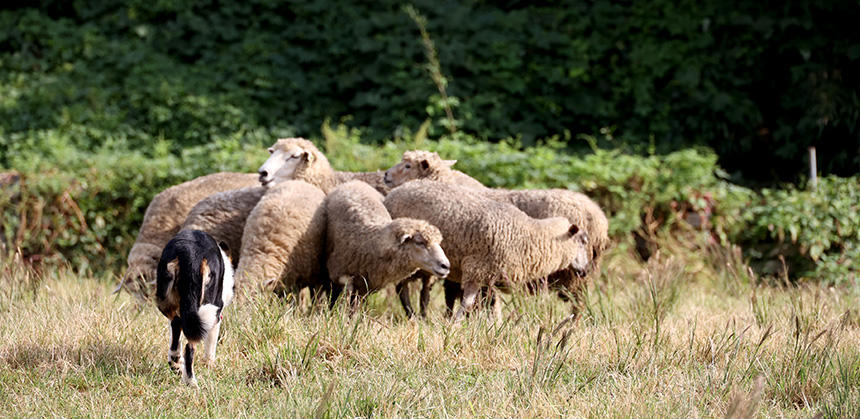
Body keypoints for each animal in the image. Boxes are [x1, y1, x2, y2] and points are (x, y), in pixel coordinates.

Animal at [155, 230, 235, 388]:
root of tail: (191, 255)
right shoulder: (215, 317)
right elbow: (210, 349)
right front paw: (209, 367)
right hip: (207, 307)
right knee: (189, 347)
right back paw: (191, 382)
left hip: (164, 299)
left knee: (176, 324)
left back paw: (176, 362)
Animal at [326, 181, 454, 308]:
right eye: (420, 242)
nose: (446, 266)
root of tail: (355, 182)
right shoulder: (338, 272)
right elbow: (345, 293)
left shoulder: (365, 285)